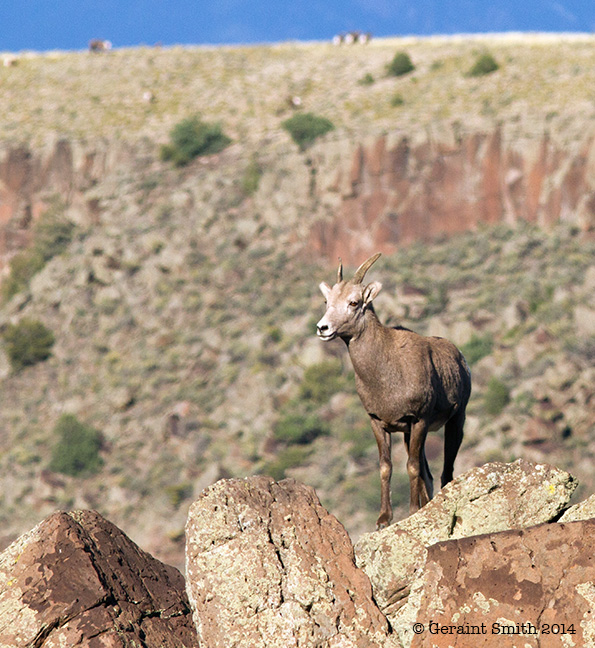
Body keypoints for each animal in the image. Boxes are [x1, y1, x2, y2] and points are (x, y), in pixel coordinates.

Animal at [316, 251, 470, 528]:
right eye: (327, 301)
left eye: (354, 302)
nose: (323, 328)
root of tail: (459, 358)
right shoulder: (379, 423)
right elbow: (386, 467)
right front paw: (383, 519)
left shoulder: (418, 420)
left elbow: (411, 468)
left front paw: (412, 512)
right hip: (412, 435)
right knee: (429, 475)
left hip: (455, 421)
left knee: (446, 471)